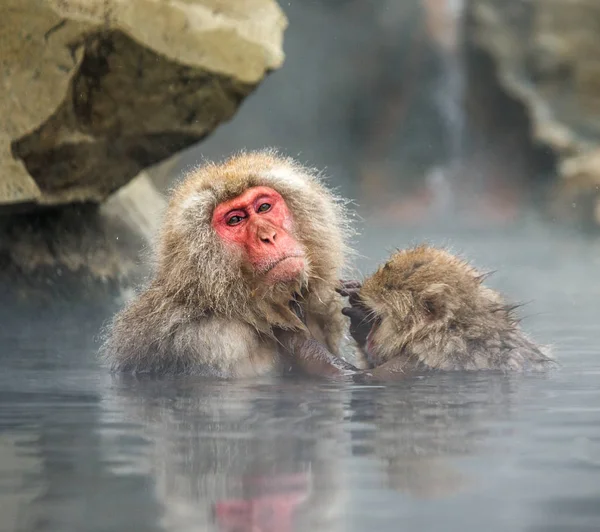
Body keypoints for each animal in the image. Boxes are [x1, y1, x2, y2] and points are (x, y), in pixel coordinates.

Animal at [102, 151, 360, 378]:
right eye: (235, 220)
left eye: (264, 207)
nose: (268, 236)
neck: (230, 303)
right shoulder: (214, 342)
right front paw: (299, 339)